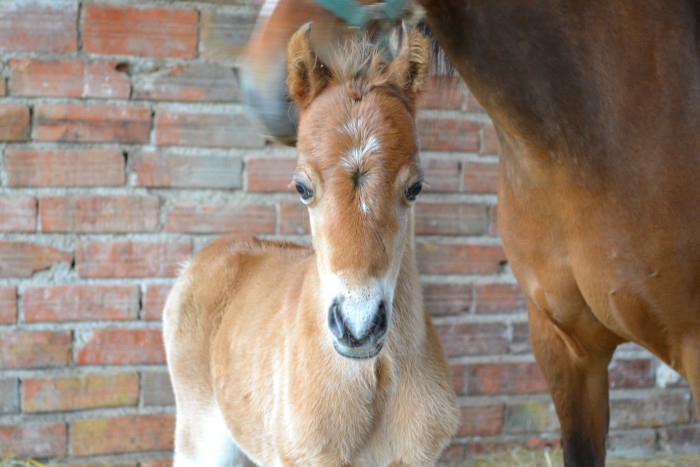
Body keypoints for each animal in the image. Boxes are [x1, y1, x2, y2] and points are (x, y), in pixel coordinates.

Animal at [164, 25, 460, 467]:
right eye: (302, 187)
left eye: (415, 187)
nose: (358, 329)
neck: (371, 379)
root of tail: (202, 259)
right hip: (200, 440)